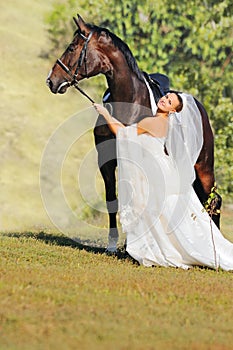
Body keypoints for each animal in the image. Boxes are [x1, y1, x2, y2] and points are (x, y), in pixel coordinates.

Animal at [46, 13, 221, 249]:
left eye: (73, 47)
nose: (51, 80)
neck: (129, 101)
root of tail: (200, 109)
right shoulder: (106, 160)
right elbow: (112, 199)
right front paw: (113, 244)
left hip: (203, 166)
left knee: (214, 200)